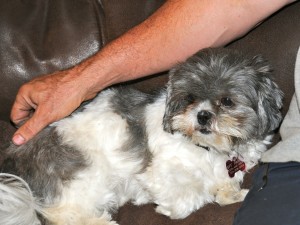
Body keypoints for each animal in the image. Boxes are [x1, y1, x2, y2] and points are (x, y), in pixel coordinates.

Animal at [0, 48, 282, 225]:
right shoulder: (158, 173)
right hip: (83, 173)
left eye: (227, 101)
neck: (210, 149)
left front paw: (233, 194)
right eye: (190, 99)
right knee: (63, 214)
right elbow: (190, 198)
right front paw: (161, 204)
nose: (202, 115)